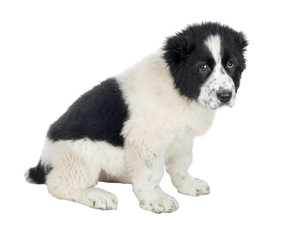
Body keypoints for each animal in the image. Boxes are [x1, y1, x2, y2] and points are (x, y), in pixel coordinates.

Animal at [26, 22, 248, 213]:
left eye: (230, 64)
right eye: (202, 67)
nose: (225, 95)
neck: (177, 87)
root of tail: (44, 160)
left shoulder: (181, 138)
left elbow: (181, 165)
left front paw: (188, 185)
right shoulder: (145, 140)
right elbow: (152, 173)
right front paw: (156, 200)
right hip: (80, 155)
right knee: (58, 184)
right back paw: (97, 195)